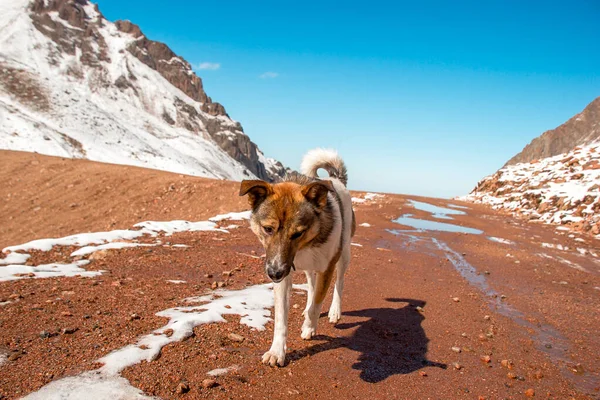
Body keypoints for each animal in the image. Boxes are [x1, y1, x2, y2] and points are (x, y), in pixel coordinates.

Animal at [239, 148, 354, 368]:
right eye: (268, 229)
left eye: (298, 233)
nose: (274, 273)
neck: (304, 248)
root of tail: (336, 179)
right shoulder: (283, 276)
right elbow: (281, 318)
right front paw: (277, 351)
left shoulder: (326, 268)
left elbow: (317, 304)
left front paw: (309, 327)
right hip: (310, 267)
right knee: (311, 284)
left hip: (343, 254)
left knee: (340, 282)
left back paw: (335, 311)